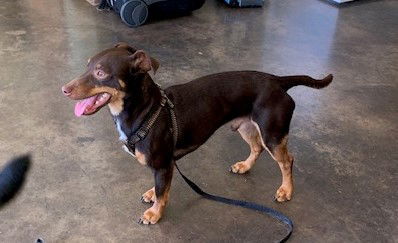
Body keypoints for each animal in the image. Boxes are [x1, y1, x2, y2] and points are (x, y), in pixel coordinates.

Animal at [60, 42, 332, 225]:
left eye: (100, 73)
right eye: (86, 66)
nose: (64, 89)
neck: (144, 110)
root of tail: (278, 80)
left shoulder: (163, 165)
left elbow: (163, 192)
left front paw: (155, 213)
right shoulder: (163, 166)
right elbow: (158, 187)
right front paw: (151, 194)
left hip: (272, 134)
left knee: (287, 161)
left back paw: (286, 190)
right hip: (246, 126)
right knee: (256, 148)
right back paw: (245, 166)